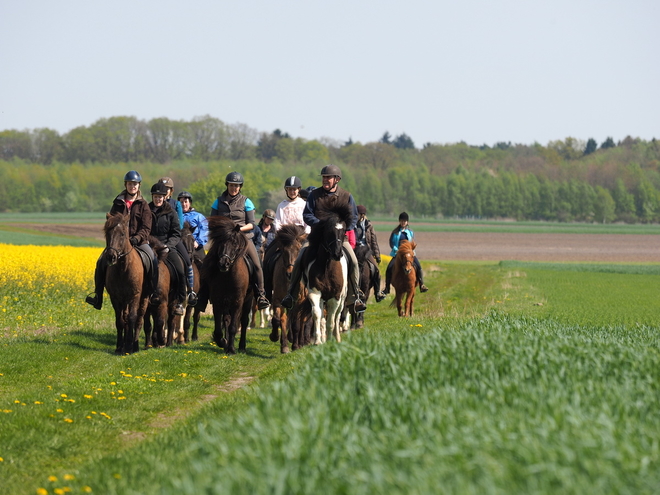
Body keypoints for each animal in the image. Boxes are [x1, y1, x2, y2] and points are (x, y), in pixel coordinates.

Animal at [102, 211, 150, 354]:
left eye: (123, 234)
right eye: (107, 233)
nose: (111, 257)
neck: (123, 268)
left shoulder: (134, 296)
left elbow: (132, 318)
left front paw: (129, 346)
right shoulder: (115, 298)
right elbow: (120, 321)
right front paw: (119, 346)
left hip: (144, 298)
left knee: (139, 319)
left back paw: (135, 345)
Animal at [201, 218, 253, 356]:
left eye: (234, 243)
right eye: (220, 243)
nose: (224, 263)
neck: (228, 277)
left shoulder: (237, 301)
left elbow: (234, 326)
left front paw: (231, 349)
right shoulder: (218, 301)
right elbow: (220, 328)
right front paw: (223, 343)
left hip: (248, 300)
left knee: (244, 321)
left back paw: (241, 347)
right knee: (227, 320)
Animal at [302, 203, 350, 346]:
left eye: (344, 231)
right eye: (329, 231)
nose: (337, 254)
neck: (326, 268)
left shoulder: (335, 296)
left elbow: (332, 320)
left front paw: (330, 340)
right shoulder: (315, 292)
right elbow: (317, 315)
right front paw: (318, 340)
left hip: (342, 297)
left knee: (337, 316)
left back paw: (336, 337)